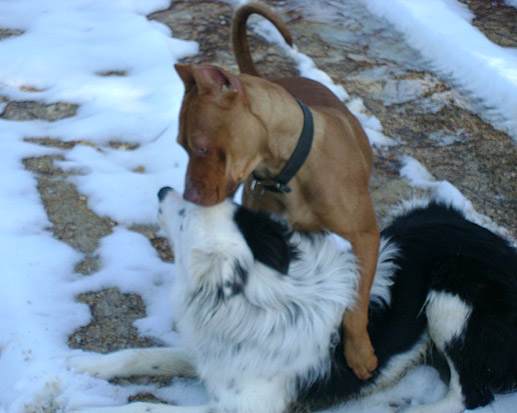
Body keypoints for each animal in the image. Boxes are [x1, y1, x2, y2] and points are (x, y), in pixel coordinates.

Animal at [71, 187, 516, 412]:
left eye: (186, 214)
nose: (163, 189)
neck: (255, 299)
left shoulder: (246, 408)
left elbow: (145, 408)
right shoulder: (212, 358)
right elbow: (140, 356)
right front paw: (85, 367)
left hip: (450, 295)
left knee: (468, 395)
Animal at [173, 1, 378, 378]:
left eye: (202, 147)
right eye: (182, 146)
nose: (190, 196)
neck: (286, 171)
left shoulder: (366, 236)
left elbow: (357, 303)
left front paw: (358, 351)